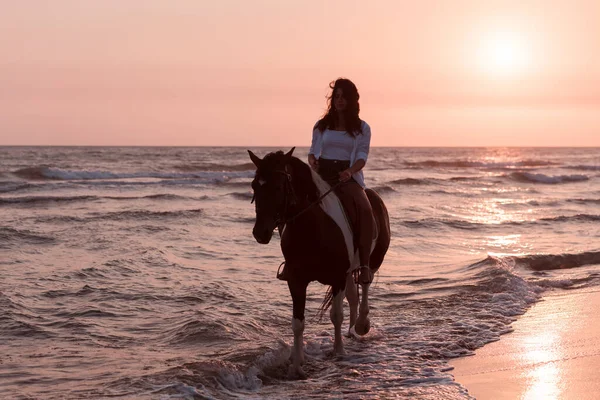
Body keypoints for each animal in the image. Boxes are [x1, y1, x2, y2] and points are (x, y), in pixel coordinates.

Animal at [247, 148, 392, 378]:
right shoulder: (296, 281)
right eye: (254, 185)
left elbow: (336, 315)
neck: (314, 229)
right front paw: (297, 366)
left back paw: (361, 325)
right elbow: (298, 323)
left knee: (365, 284)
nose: (260, 233)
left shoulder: (337, 277)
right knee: (353, 296)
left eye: (278, 186)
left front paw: (339, 351)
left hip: (372, 260)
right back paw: (352, 330)